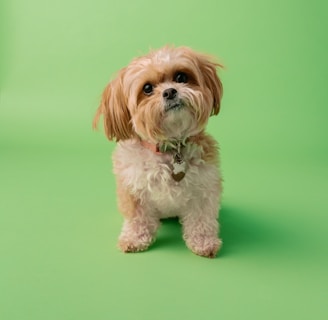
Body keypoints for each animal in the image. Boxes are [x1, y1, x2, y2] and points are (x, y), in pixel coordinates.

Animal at [93, 45, 224, 258]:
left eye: (181, 77)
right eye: (147, 88)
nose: (170, 91)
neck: (169, 147)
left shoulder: (203, 189)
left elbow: (201, 219)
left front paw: (204, 242)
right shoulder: (134, 190)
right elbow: (138, 218)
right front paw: (134, 238)